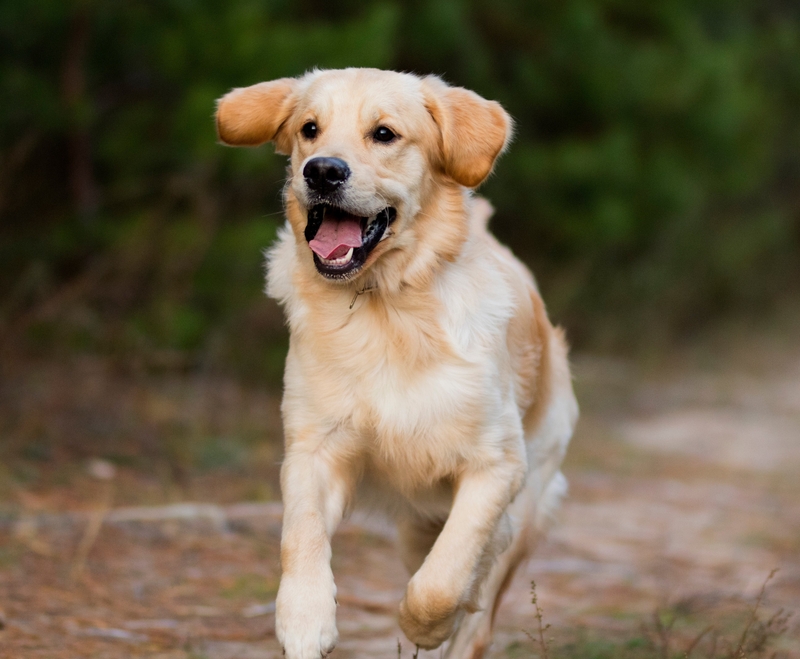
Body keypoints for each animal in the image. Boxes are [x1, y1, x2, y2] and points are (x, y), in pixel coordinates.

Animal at [216, 69, 580, 656]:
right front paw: (303, 618)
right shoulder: (315, 447)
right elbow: (301, 533)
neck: (385, 304)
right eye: (309, 129)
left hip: (528, 499)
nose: (322, 171)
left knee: (480, 601)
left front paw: (423, 624)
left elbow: (445, 577)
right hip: (417, 522)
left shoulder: (496, 464)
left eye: (384, 134)